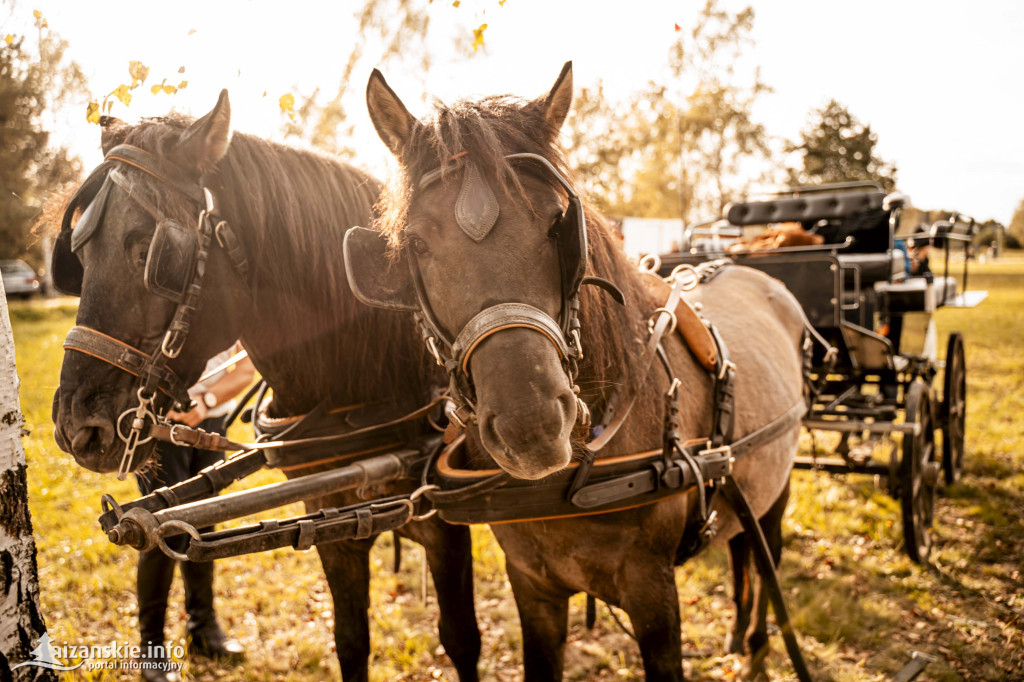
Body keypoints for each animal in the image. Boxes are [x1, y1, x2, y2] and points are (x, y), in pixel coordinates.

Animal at [48, 91, 479, 679]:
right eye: (80, 256)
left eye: (148, 253)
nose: (76, 428)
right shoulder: (333, 524)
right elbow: (351, 640)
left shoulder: (446, 522)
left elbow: (460, 640)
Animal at [356, 62, 811, 675]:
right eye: (416, 244)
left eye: (558, 223)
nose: (531, 427)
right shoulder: (533, 586)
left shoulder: (653, 595)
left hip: (777, 487)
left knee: (763, 556)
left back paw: (759, 642)